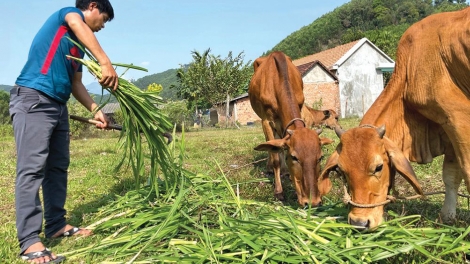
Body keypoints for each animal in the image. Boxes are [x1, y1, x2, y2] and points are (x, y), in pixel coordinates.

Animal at [250, 51, 330, 206]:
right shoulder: (266, 121)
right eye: (294, 157)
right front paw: (279, 192)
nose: (313, 202)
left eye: (320, 157)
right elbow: (275, 156)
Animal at [320, 8, 470, 230]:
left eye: (378, 167)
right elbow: (451, 176)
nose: (359, 222)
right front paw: (447, 217)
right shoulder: (449, 130)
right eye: (342, 171)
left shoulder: (459, 119)